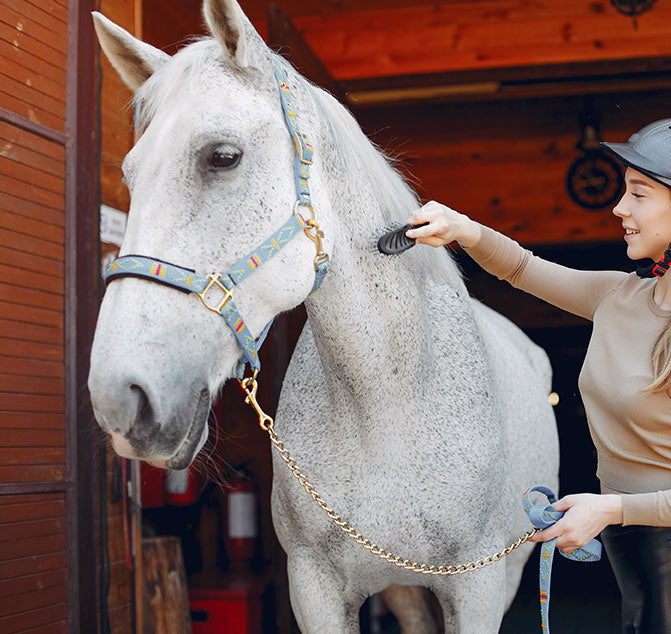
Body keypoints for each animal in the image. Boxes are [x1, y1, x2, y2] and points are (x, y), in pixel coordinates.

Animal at [88, 1, 559, 631]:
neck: (387, 403)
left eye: (223, 157)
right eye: (130, 175)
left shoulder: (479, 587)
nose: (118, 395)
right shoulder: (314, 587)